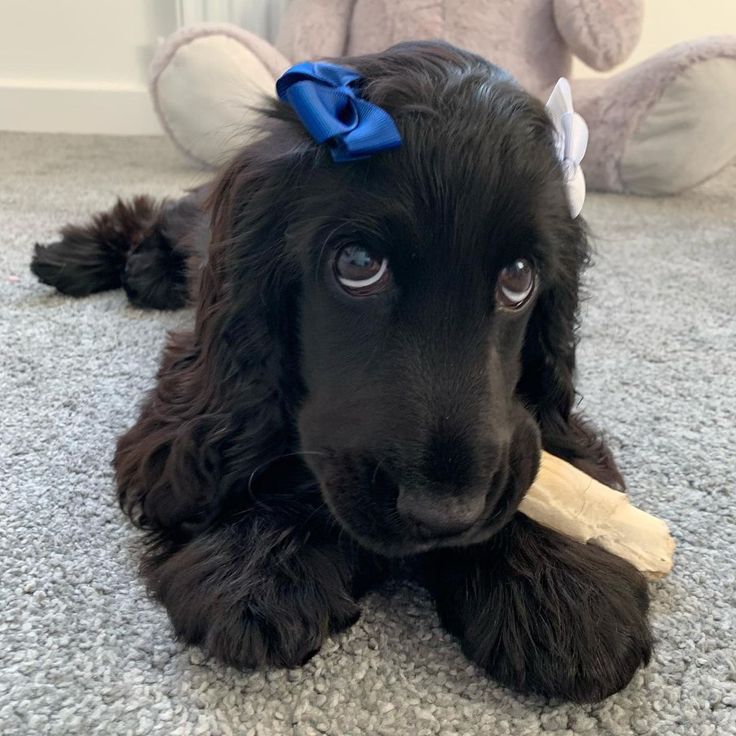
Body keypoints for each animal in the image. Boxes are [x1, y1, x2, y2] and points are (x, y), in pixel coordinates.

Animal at [31, 43, 648, 704]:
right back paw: (79, 258)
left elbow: (550, 451)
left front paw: (562, 582)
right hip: (192, 219)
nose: (447, 515)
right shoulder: (199, 371)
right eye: (357, 264)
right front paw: (258, 563)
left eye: (518, 277)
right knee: (153, 212)